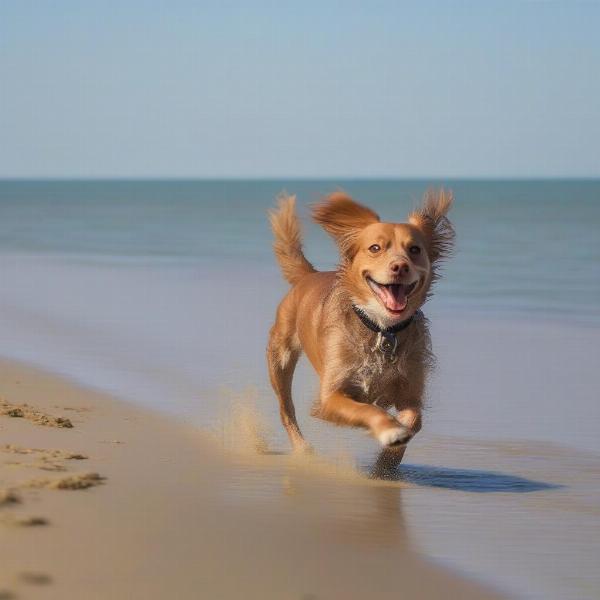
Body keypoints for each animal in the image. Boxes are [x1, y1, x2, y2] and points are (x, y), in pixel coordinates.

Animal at [268, 190, 454, 458]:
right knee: (286, 409)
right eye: (375, 248)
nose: (400, 266)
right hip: (279, 359)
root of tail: (309, 275)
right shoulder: (330, 398)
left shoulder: (410, 390)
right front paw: (390, 430)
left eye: (415, 249)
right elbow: (367, 409)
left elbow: (413, 419)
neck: (382, 329)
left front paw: (389, 457)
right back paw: (302, 447)